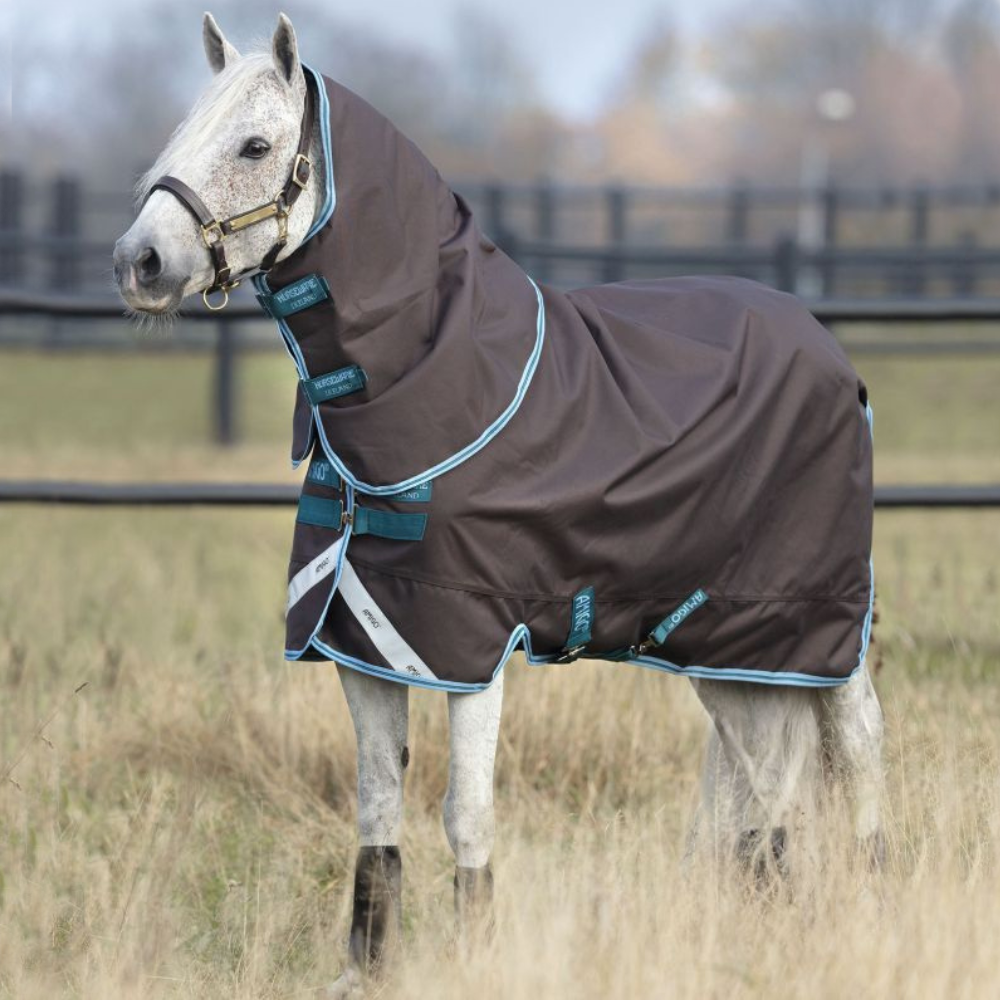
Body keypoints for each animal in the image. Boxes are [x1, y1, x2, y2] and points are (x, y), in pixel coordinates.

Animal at [114, 13, 885, 995]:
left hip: (820, 619)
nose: (137, 262)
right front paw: (366, 969)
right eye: (183, 132)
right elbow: (377, 811)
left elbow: (465, 816)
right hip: (730, 641)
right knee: (765, 777)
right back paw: (765, 919)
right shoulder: (366, 644)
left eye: (254, 146)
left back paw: (873, 904)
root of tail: (827, 349)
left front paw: (477, 956)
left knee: (857, 750)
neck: (441, 386)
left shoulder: (470, 647)